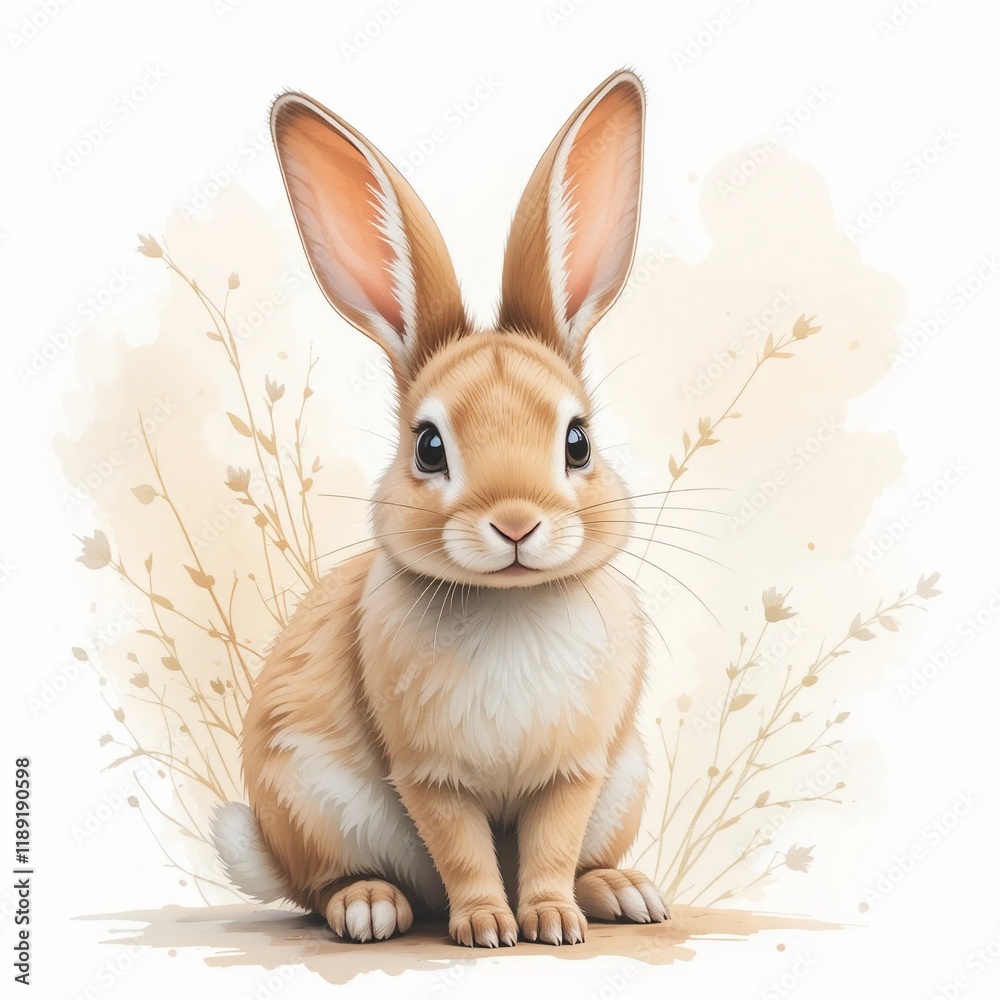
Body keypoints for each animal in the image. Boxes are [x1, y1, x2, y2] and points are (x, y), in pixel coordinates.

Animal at [211, 68, 669, 948]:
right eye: (429, 447)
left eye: (577, 443)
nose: (517, 524)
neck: (510, 602)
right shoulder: (430, 776)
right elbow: (461, 852)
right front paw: (489, 927)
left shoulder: (578, 772)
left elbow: (552, 847)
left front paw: (551, 922)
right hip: (309, 800)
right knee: (324, 883)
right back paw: (368, 906)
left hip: (626, 786)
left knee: (587, 856)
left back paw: (622, 892)